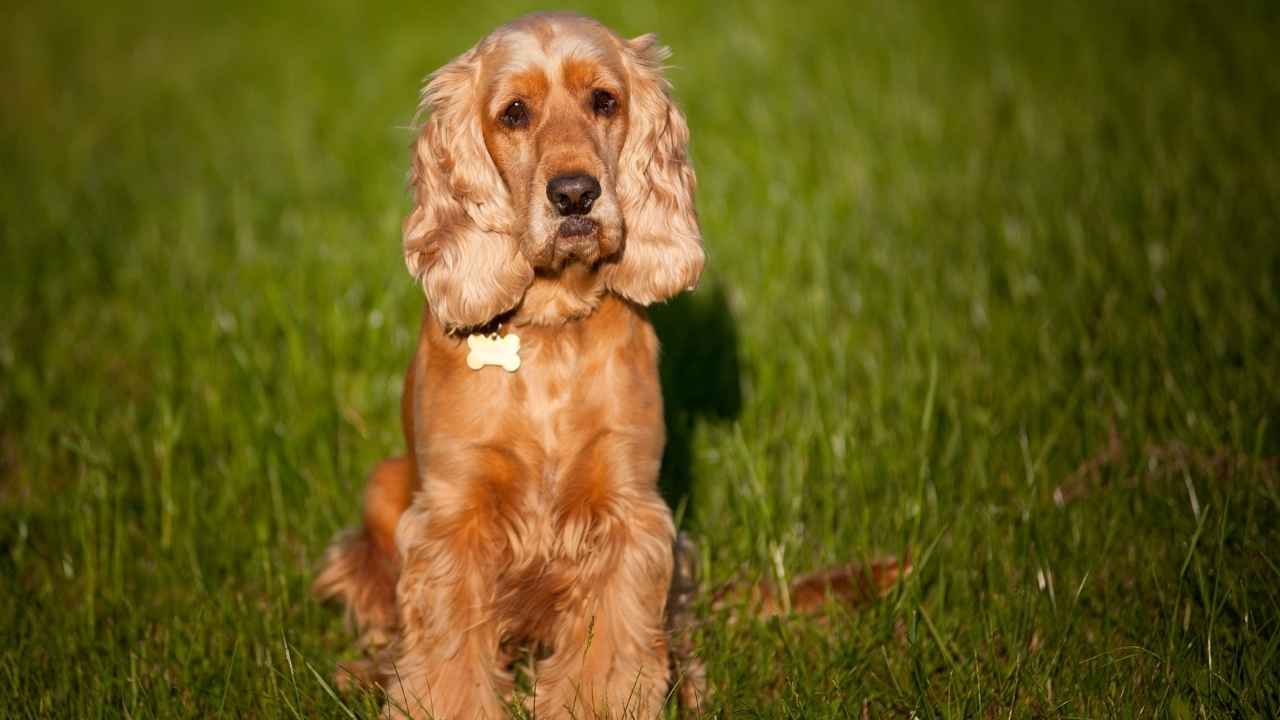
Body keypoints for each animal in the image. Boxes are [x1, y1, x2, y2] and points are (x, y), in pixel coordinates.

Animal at [314, 12, 706, 717]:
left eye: (604, 100)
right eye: (514, 112)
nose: (575, 194)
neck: (549, 327)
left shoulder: (629, 509)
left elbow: (608, 653)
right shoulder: (452, 513)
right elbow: (447, 660)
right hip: (384, 487)